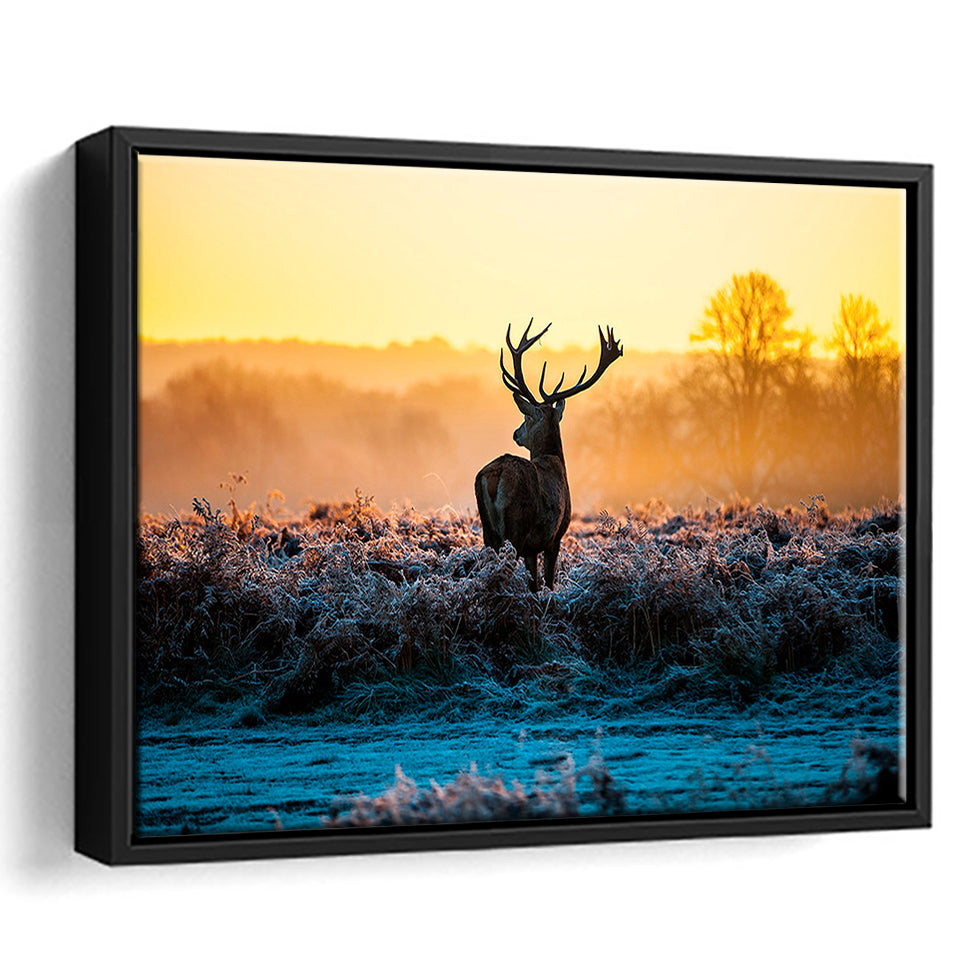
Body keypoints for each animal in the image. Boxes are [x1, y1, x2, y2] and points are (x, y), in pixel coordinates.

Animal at [475, 319, 623, 591]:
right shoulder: (555, 535)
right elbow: (549, 582)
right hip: (516, 526)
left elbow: (535, 583)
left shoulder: (534, 548)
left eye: (525, 418)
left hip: (488, 531)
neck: (555, 461)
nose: (516, 433)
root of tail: (494, 475)